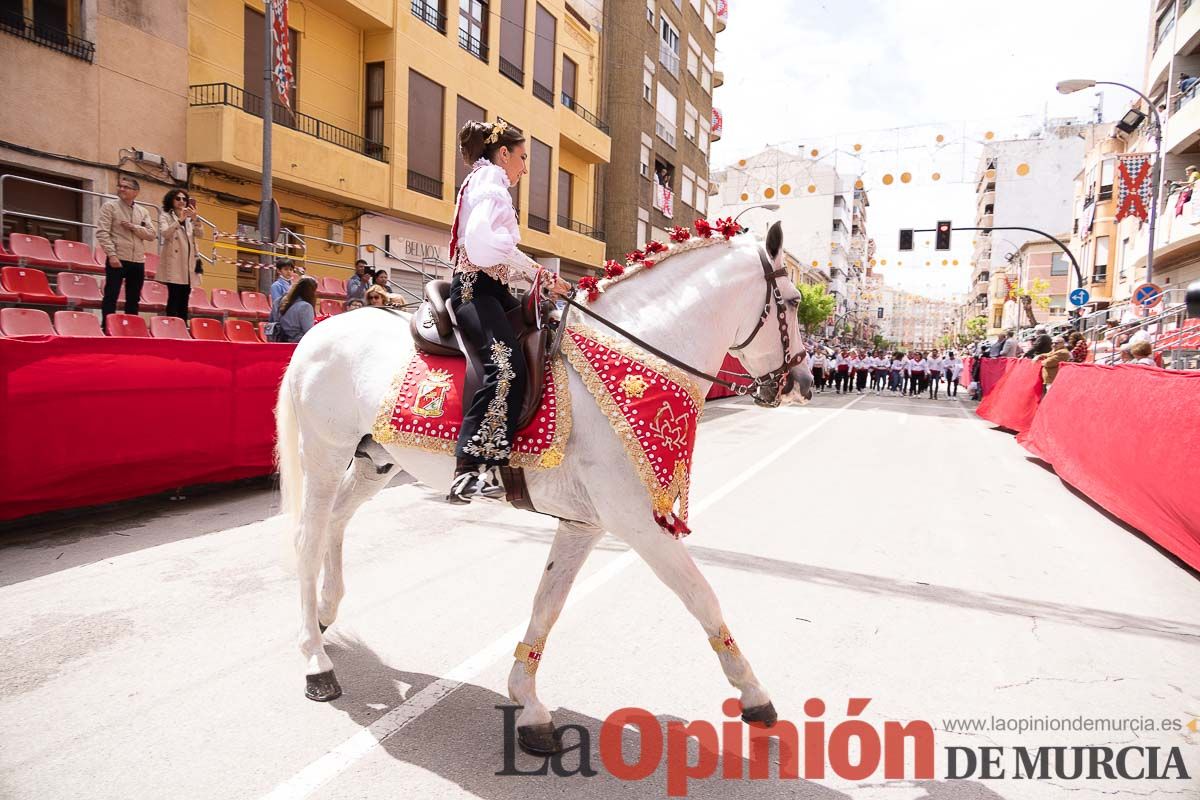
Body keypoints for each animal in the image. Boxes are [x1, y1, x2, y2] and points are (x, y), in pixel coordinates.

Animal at [274, 221, 816, 753]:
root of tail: (321, 331)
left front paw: (529, 707)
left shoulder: (584, 524)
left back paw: (323, 613)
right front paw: (755, 696)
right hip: (324, 453)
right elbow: (701, 596)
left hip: (375, 461)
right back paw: (315, 661)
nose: (804, 383)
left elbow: (547, 605)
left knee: (336, 522)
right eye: (791, 302)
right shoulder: (637, 524)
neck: (632, 358)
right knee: (305, 539)